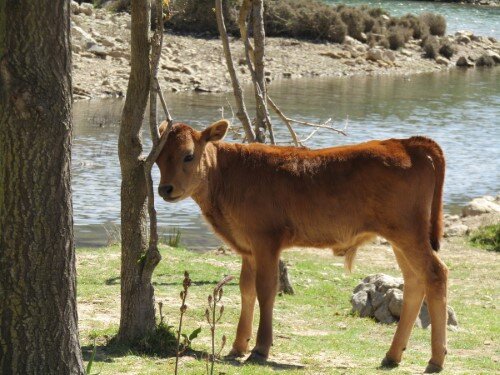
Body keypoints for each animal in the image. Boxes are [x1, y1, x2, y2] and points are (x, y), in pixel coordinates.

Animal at [156, 120, 450, 374]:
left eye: (188, 156)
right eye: (157, 159)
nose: (165, 189)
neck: (229, 176)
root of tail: (407, 143)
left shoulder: (266, 241)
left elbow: (266, 290)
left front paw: (260, 349)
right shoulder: (247, 248)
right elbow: (246, 290)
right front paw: (238, 347)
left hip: (409, 234)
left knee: (436, 274)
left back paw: (435, 360)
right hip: (400, 239)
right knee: (414, 282)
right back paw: (393, 355)